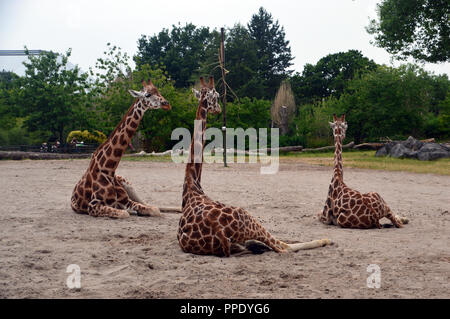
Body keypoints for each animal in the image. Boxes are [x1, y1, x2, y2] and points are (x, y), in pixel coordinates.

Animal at [71, 80, 171, 220]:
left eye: (159, 92)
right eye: (148, 94)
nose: (166, 103)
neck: (109, 169)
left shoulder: (126, 201)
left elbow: (154, 210)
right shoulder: (93, 205)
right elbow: (124, 213)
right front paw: (132, 212)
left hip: (128, 184)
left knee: (151, 204)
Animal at [178, 77, 332, 258]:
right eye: (216, 96)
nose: (218, 109)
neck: (193, 184)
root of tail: (219, 231)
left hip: (237, 242)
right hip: (248, 218)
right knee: (283, 247)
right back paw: (325, 240)